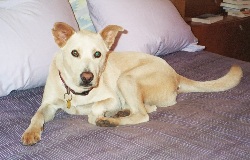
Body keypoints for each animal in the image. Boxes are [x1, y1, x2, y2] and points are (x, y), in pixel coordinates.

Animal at [22, 21, 242, 146]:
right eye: (74, 53)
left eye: (98, 54)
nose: (87, 77)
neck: (77, 93)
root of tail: (175, 75)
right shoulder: (48, 106)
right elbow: (37, 115)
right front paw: (31, 132)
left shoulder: (111, 98)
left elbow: (94, 110)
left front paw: (100, 115)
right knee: (147, 108)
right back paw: (121, 113)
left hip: (127, 79)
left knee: (143, 114)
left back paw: (112, 119)